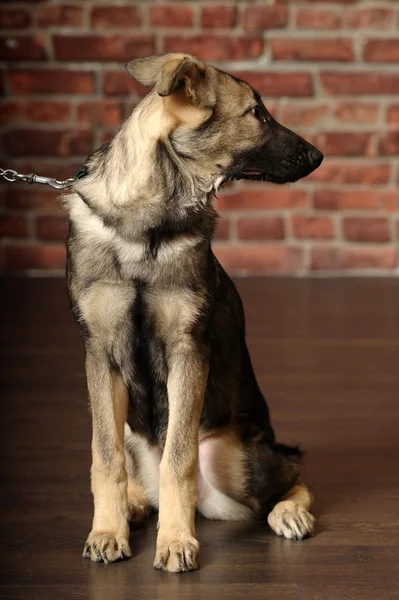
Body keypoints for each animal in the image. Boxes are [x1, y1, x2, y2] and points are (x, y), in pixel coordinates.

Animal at [64, 55, 324, 572]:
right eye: (256, 113)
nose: (318, 155)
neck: (146, 224)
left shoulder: (188, 351)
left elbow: (177, 459)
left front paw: (176, 540)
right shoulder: (100, 353)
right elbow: (104, 458)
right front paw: (107, 531)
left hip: (238, 461)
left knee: (290, 475)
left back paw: (288, 512)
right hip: (130, 427)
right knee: (133, 471)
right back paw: (134, 505)